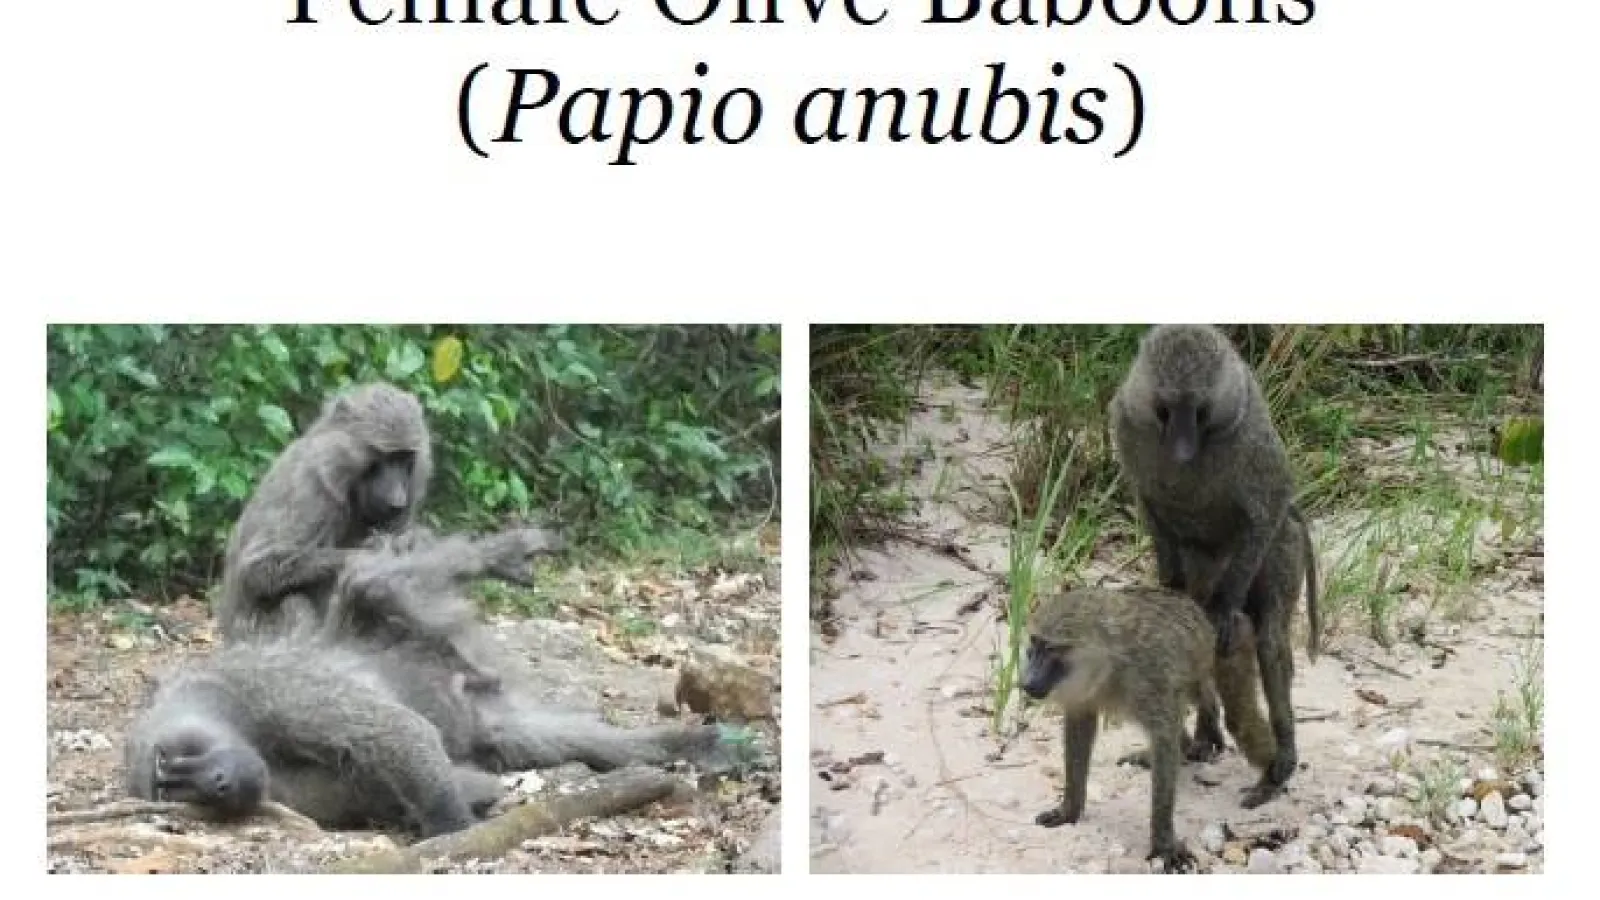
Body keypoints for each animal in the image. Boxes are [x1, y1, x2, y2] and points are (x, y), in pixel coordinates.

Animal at [216, 383, 437, 643]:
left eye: (405, 458)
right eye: (385, 457)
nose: (398, 501)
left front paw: (413, 541)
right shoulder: (312, 490)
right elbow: (257, 569)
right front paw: (371, 554)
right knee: (294, 600)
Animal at [1021, 585, 1227, 873]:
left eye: (1052, 649)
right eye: (1034, 644)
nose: (1027, 683)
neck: (1108, 665)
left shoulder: (1149, 678)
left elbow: (1164, 738)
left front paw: (1163, 844)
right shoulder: (1081, 693)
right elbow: (1079, 727)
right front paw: (1069, 810)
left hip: (1199, 654)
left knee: (1199, 693)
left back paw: (1208, 723)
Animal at [1109, 324, 1320, 807]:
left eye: (1200, 411)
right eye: (1166, 409)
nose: (1182, 450)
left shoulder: (1251, 442)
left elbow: (1268, 501)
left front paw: (1224, 609)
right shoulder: (1128, 423)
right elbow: (1149, 505)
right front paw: (1168, 586)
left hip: (1282, 546)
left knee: (1270, 640)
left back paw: (1279, 765)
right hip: (1202, 568)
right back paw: (1203, 738)